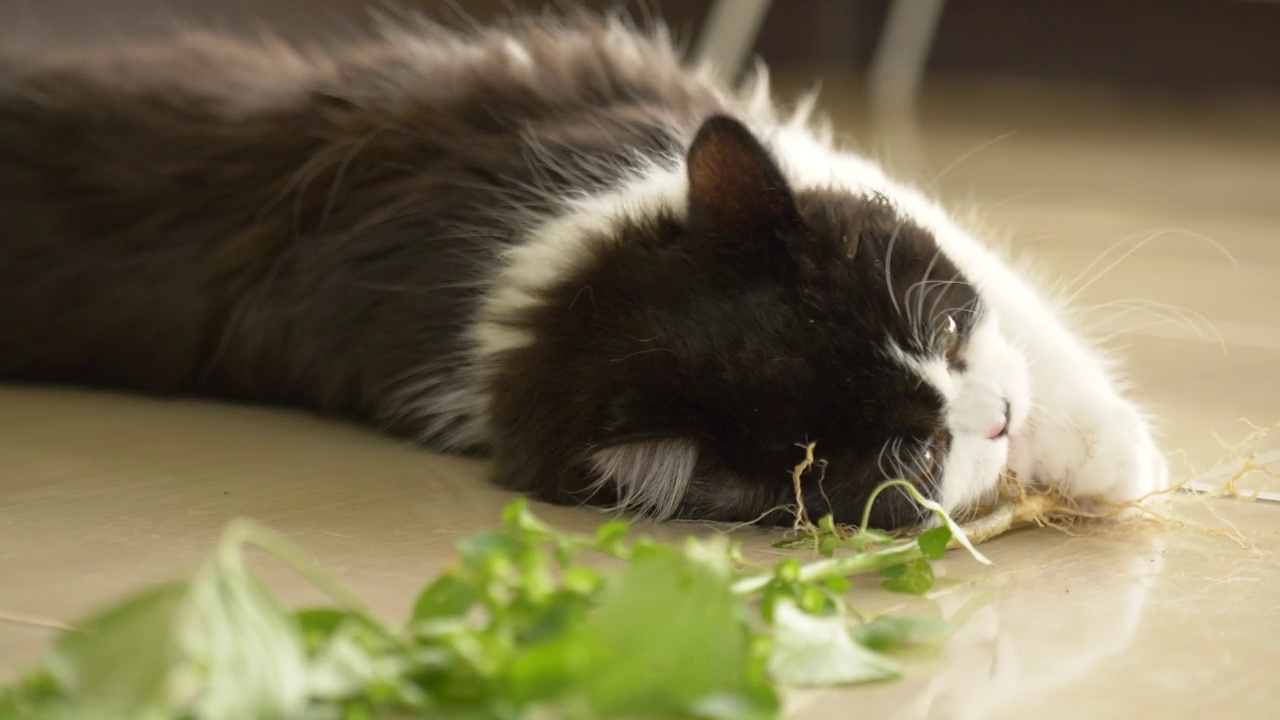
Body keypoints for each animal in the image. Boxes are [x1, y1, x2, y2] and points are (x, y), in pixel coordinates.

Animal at [0, 9, 1172, 527]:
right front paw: (1113, 465)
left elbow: (1018, 307)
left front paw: (1115, 453)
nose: (999, 425)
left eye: (940, 330)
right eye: (910, 456)